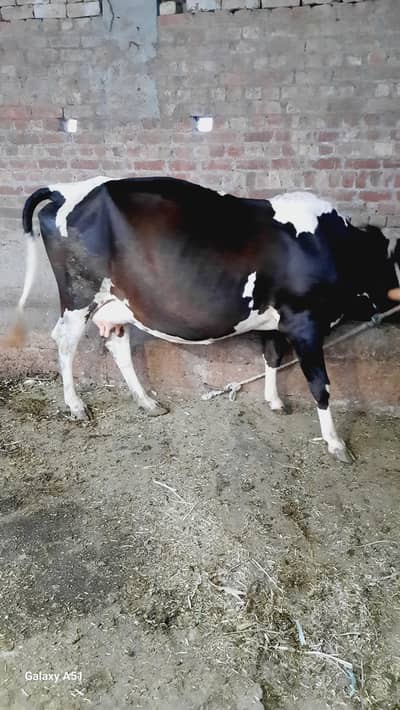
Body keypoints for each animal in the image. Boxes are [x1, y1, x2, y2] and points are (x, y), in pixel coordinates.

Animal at [8, 176, 400, 463]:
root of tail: (67, 188)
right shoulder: (305, 322)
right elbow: (321, 385)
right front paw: (335, 443)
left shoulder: (277, 321)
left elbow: (272, 357)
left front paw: (274, 401)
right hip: (79, 294)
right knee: (65, 341)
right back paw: (76, 405)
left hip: (118, 302)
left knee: (117, 343)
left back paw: (147, 402)